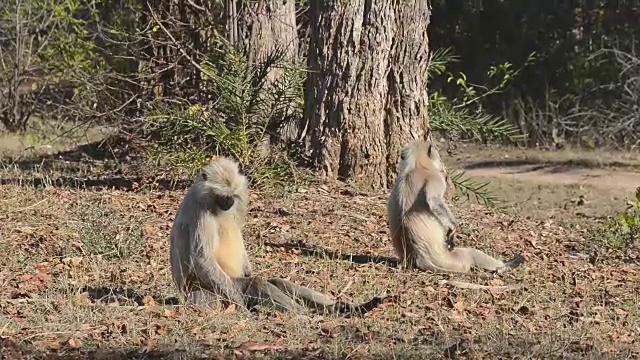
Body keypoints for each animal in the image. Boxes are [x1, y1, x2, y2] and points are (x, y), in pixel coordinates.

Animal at [168, 155, 384, 316]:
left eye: (232, 195)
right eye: (223, 196)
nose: (229, 203)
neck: (212, 203)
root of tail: (185, 296)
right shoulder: (201, 213)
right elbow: (201, 259)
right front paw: (241, 306)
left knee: (276, 282)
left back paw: (347, 309)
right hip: (210, 294)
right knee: (256, 283)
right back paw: (306, 314)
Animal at [384, 140, 524, 272]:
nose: (441, 164)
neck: (416, 165)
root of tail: (419, 259)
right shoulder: (436, 178)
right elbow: (434, 201)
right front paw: (453, 228)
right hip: (449, 260)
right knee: (471, 253)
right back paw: (507, 265)